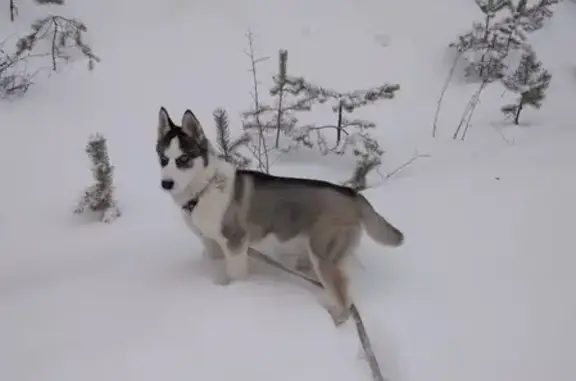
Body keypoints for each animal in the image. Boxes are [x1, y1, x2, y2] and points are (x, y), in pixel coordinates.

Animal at [155, 106, 402, 324]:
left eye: (183, 159)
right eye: (164, 159)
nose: (166, 183)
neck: (203, 189)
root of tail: (352, 194)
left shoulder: (235, 243)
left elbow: (236, 274)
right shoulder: (210, 242)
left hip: (324, 255)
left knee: (344, 299)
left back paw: (336, 321)